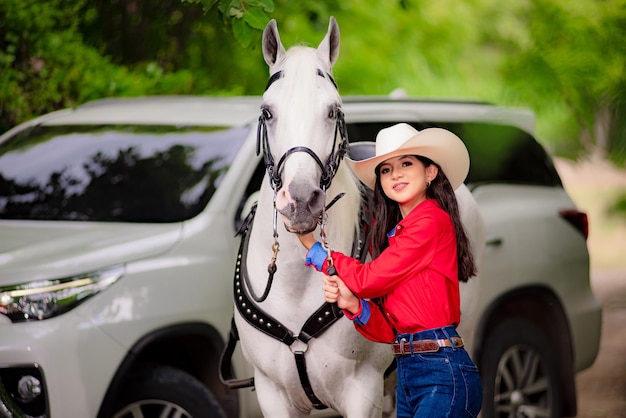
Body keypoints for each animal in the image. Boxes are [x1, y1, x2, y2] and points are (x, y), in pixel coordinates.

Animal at [232, 17, 392, 418]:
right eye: (267, 112)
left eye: (333, 111)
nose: (301, 200)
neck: (295, 282)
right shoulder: (271, 392)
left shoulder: (363, 390)